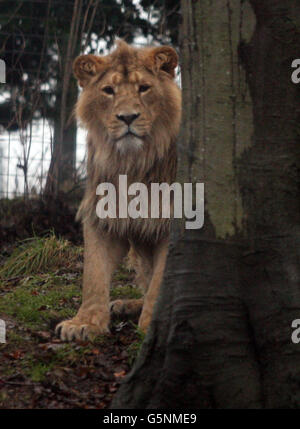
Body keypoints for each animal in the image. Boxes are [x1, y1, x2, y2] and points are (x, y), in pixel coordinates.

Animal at [56, 41, 182, 342]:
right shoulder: (102, 214)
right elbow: (93, 274)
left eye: (144, 88)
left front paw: (151, 328)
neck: (131, 163)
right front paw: (85, 323)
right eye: (108, 90)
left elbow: (160, 281)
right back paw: (126, 304)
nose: (127, 117)